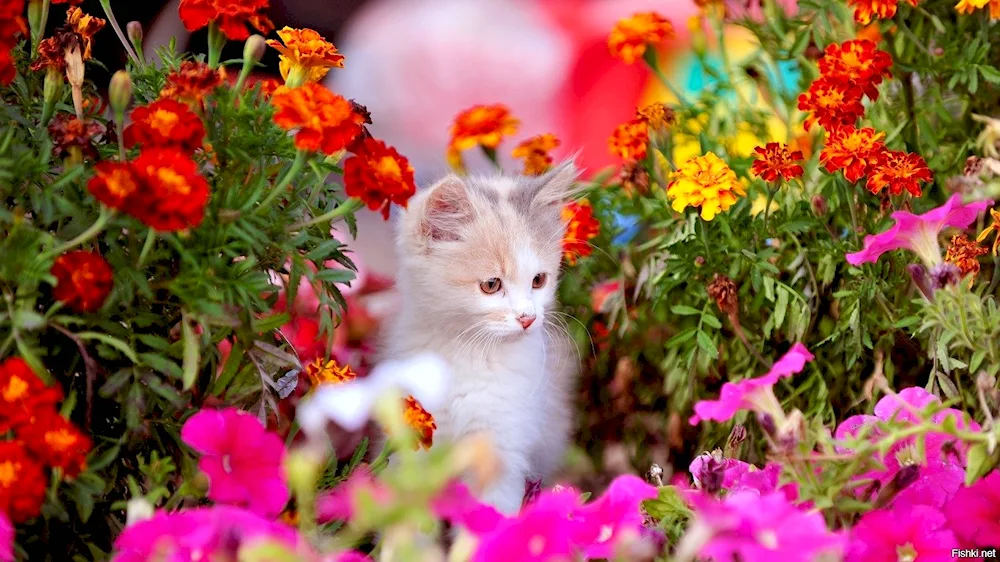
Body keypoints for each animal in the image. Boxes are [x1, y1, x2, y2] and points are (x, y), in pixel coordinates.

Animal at [382, 160, 584, 516]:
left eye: (538, 280)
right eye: (491, 285)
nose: (528, 318)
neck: (468, 354)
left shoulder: (502, 445)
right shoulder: (415, 433)